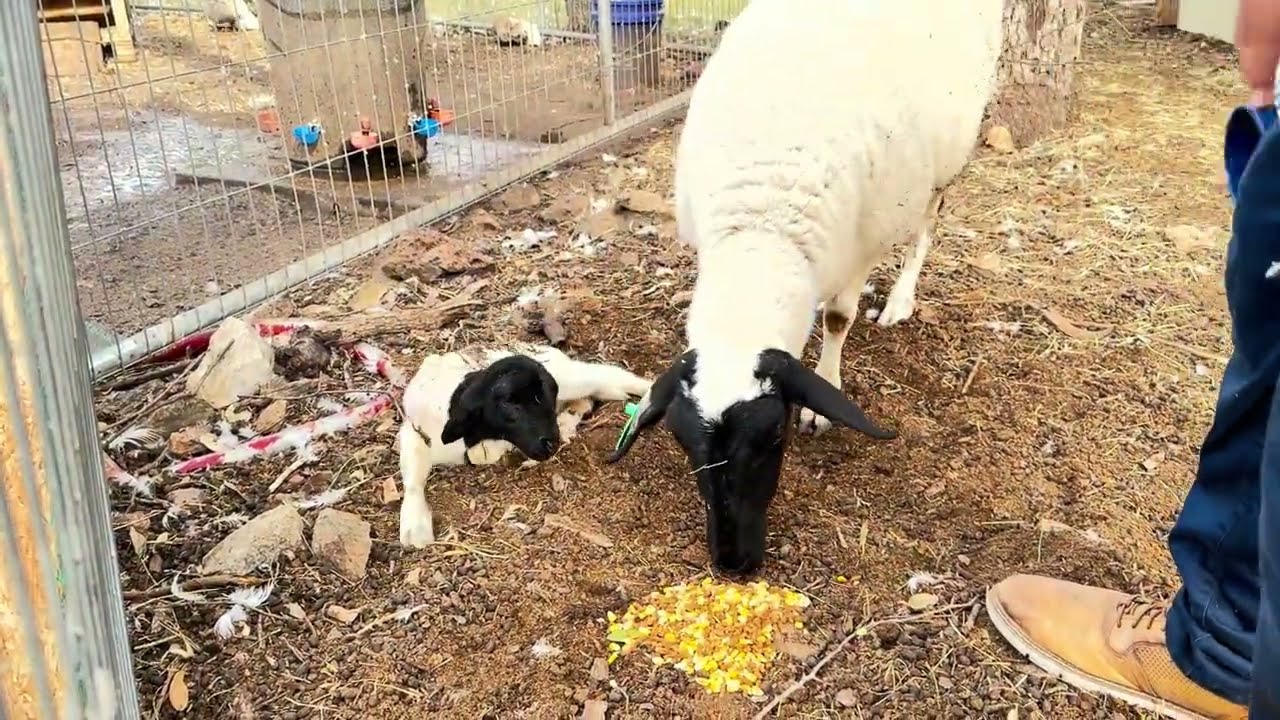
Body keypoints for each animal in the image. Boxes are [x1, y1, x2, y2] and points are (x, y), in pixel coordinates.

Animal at [398, 343, 650, 548]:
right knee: (590, 397)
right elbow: (413, 478)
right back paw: (568, 420)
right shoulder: (412, 431)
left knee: (608, 376)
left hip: (572, 378)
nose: (551, 444)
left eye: (548, 394)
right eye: (509, 402)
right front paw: (415, 526)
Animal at [609, 0, 1005, 574]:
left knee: (929, 221)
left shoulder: (861, 244)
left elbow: (839, 318)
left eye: (776, 434)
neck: (762, 227)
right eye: (682, 442)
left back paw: (901, 299)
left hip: (947, 157)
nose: (732, 563)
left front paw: (825, 395)